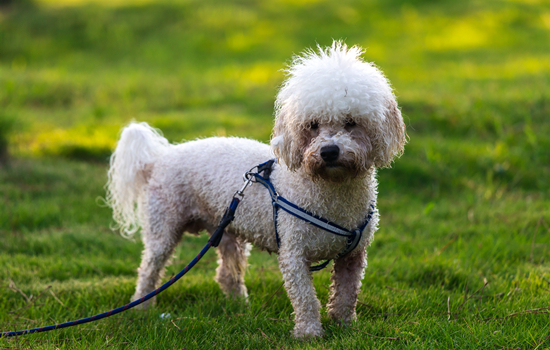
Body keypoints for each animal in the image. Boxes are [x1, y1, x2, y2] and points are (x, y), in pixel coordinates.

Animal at [108, 41, 408, 340]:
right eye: (312, 125)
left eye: (351, 122)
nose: (329, 151)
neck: (331, 190)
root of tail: (160, 157)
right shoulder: (293, 253)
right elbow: (306, 298)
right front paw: (309, 333)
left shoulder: (353, 256)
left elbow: (347, 294)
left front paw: (345, 326)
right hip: (164, 227)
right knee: (149, 269)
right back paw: (142, 307)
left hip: (227, 229)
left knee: (226, 273)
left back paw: (239, 305)